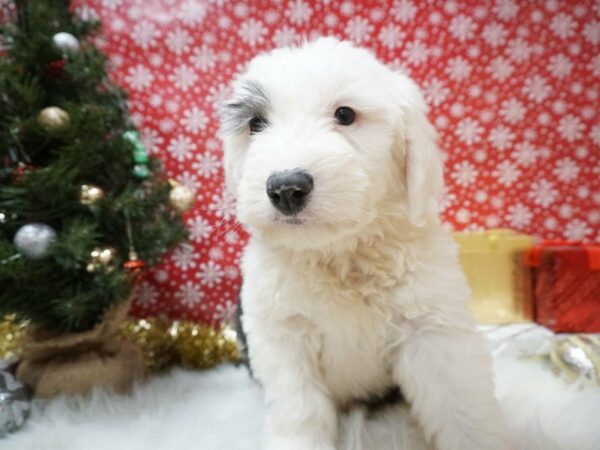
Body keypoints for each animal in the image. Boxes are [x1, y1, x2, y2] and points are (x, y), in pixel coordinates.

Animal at [219, 38, 510, 450]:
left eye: (345, 114)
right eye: (255, 124)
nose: (286, 188)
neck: (343, 255)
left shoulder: (432, 331)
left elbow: (462, 407)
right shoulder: (281, 335)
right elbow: (300, 411)